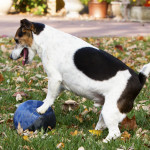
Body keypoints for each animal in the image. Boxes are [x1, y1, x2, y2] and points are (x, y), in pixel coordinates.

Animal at [9, 18, 149, 142]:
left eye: (16, 40)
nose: (10, 56)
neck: (45, 39)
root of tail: (139, 79)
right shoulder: (59, 84)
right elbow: (50, 97)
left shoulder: (54, 79)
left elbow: (49, 98)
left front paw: (42, 108)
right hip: (106, 110)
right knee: (103, 125)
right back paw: (93, 134)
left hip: (110, 109)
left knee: (115, 133)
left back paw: (103, 142)